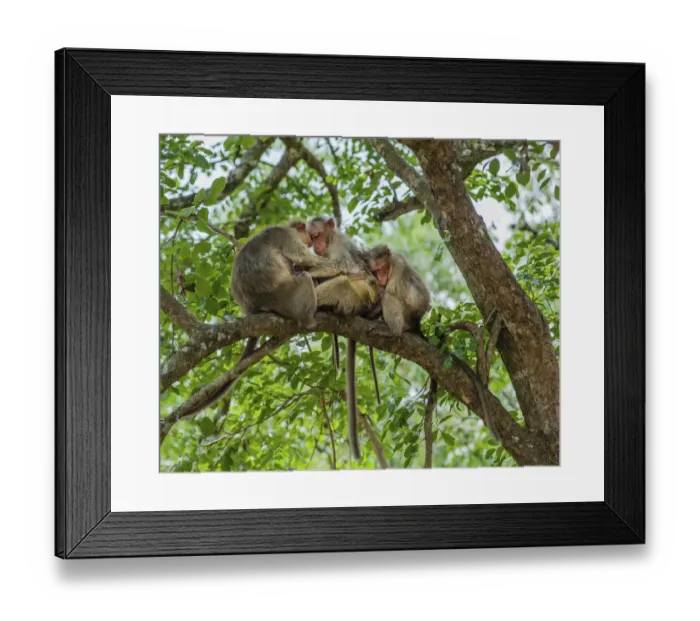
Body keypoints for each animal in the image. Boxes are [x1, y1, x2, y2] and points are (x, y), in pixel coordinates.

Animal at [307, 216, 381, 460]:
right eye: (311, 238)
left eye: (317, 235)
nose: (315, 246)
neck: (330, 242)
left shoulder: (339, 247)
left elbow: (341, 267)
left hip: (355, 298)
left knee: (342, 282)